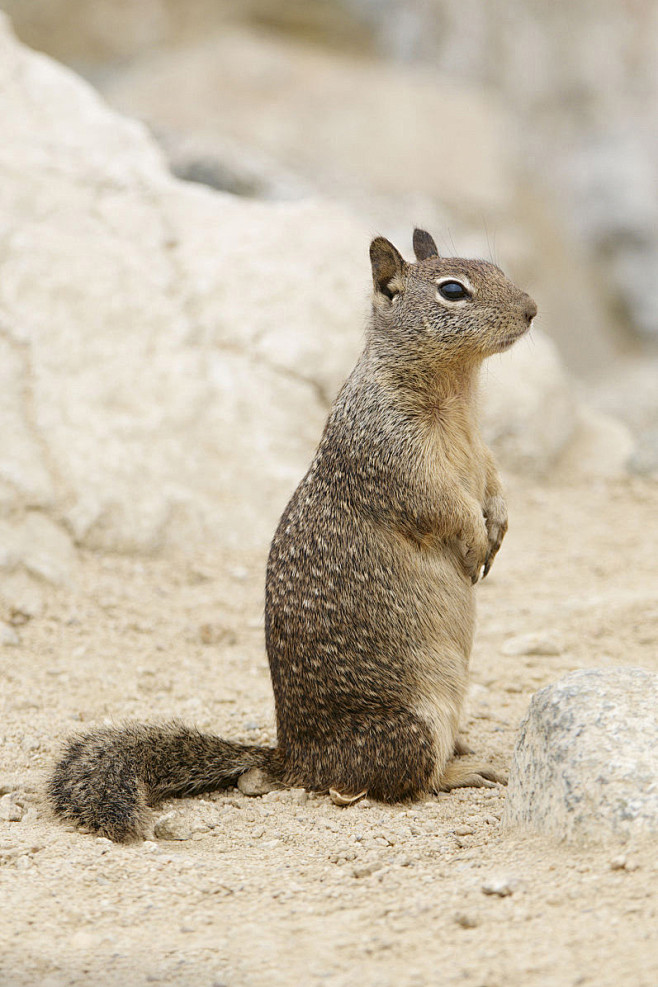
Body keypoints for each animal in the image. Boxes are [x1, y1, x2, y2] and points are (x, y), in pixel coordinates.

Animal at [48, 230, 536, 840]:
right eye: (453, 291)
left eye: (499, 270)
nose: (531, 309)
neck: (457, 394)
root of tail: (290, 758)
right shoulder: (394, 454)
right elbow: (444, 506)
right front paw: (474, 542)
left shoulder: (481, 451)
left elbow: (493, 485)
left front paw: (499, 527)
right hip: (409, 731)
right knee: (390, 784)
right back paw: (463, 771)